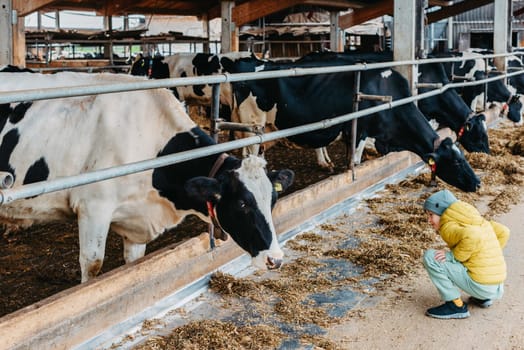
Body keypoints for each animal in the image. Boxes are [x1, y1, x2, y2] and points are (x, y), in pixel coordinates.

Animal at [0, 67, 292, 282]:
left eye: (273, 200)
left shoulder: (136, 223)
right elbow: (92, 265)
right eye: (242, 204)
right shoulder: (93, 207)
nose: (276, 259)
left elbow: (134, 263)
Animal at [221, 54, 478, 191]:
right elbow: (354, 160)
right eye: (456, 161)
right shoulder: (359, 130)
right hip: (253, 126)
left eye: (463, 156)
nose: (477, 183)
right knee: (250, 154)